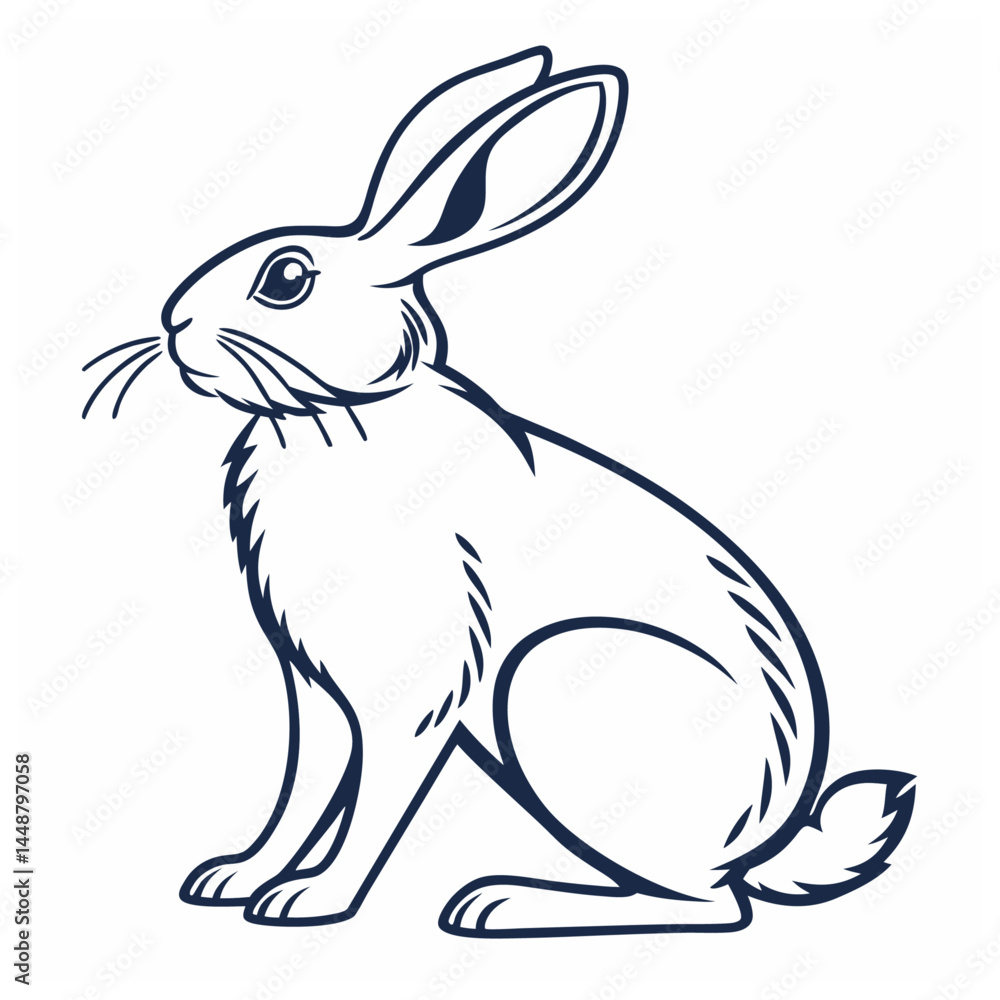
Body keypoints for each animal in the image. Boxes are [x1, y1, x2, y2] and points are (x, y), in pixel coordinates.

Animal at [84, 46, 914, 936]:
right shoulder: (313, 687)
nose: (173, 323)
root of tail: (758, 842)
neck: (338, 416)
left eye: (286, 278)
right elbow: (306, 787)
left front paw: (311, 900)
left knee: (709, 905)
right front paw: (236, 879)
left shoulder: (418, 690)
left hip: (551, 679)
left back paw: (504, 902)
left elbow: (377, 795)